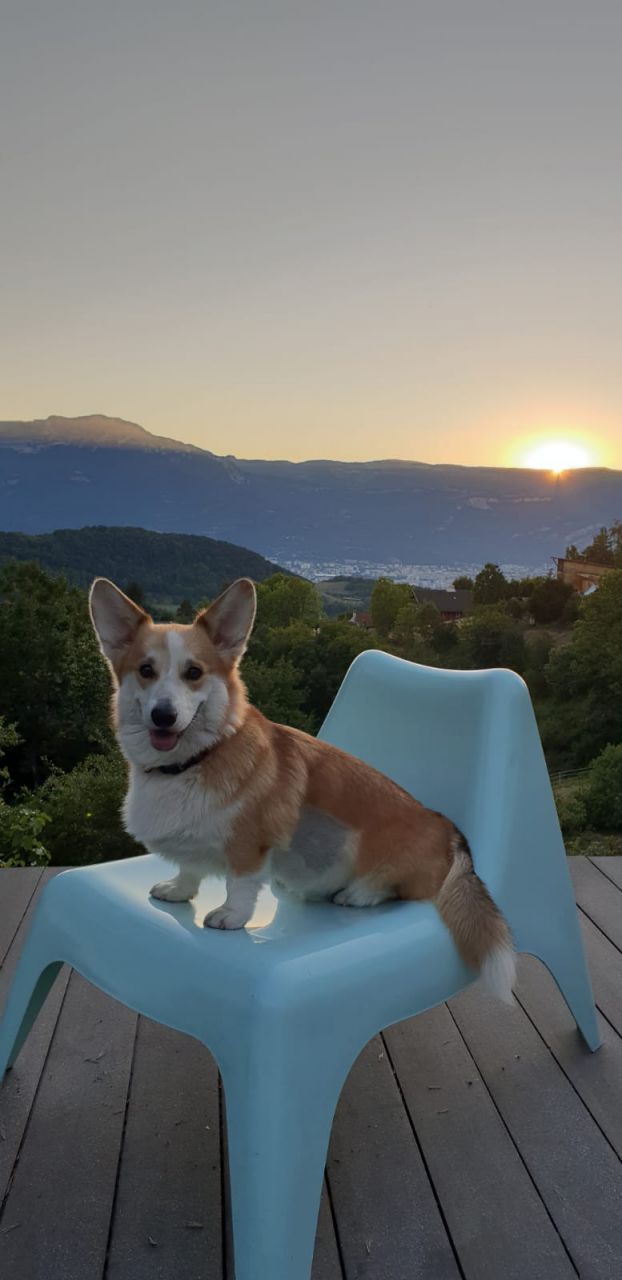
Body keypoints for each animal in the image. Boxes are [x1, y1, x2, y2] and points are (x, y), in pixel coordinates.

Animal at [89, 576, 516, 1001]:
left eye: (193, 672)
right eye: (146, 670)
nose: (163, 715)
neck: (194, 761)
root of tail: (451, 833)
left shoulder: (250, 844)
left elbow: (240, 884)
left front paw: (231, 915)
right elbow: (189, 868)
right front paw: (179, 889)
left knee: (393, 888)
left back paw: (357, 894)